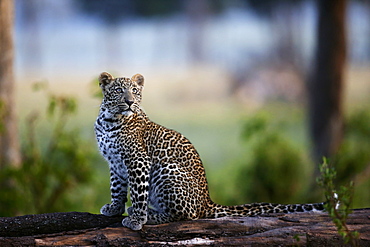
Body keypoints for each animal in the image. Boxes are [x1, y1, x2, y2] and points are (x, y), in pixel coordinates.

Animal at [94, 72, 326, 232]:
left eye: (135, 91)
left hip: (167, 170)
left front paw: (136, 219)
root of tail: (207, 201)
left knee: (186, 215)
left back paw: (150, 216)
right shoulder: (114, 163)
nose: (130, 102)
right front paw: (114, 208)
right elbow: (117, 188)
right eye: (119, 91)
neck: (109, 120)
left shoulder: (138, 161)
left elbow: (137, 193)